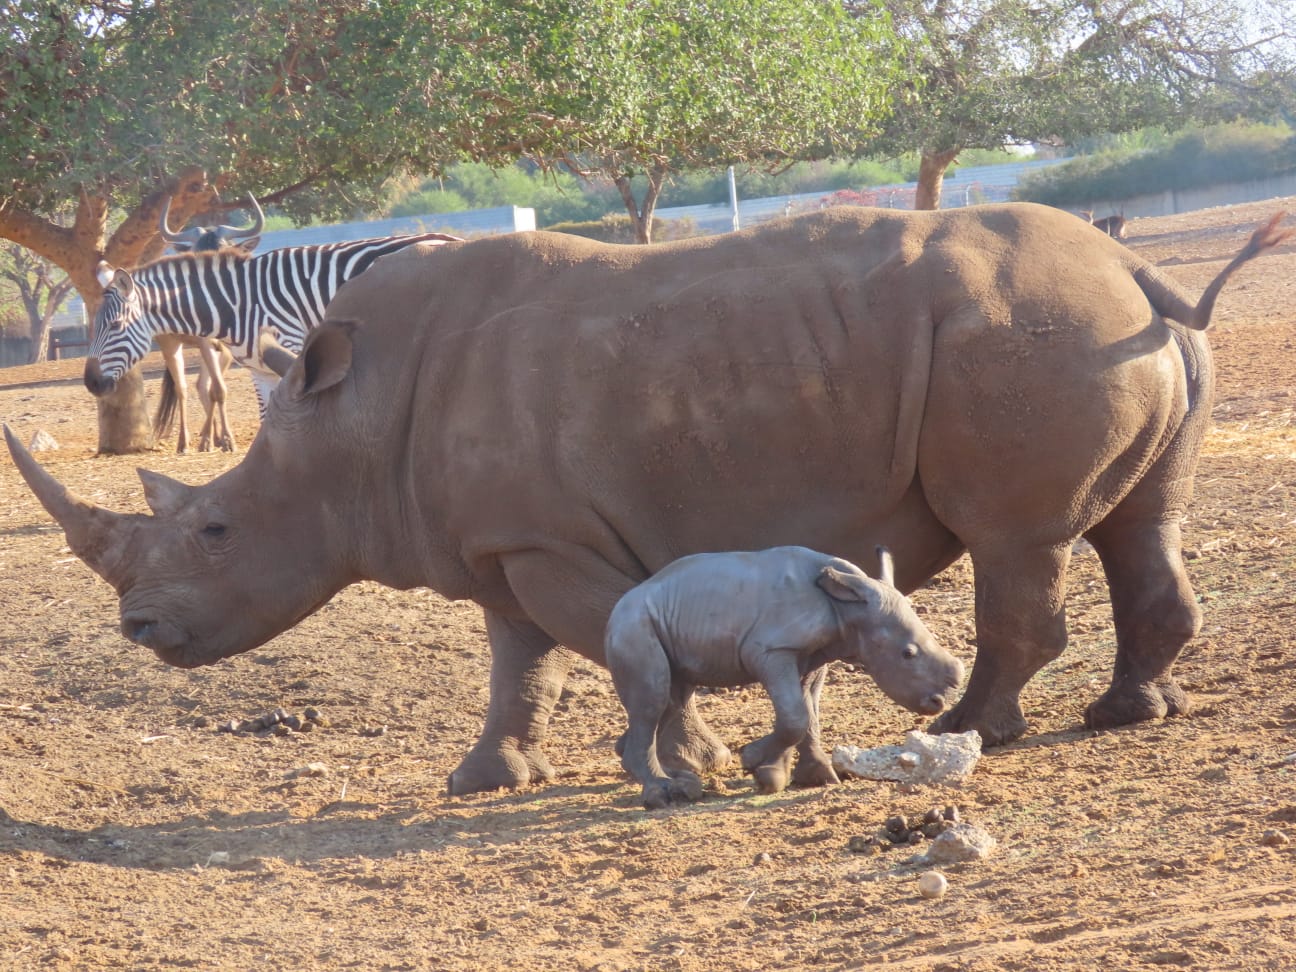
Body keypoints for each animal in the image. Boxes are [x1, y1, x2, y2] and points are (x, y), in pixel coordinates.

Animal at [84, 230, 461, 432]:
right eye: (92, 327)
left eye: (115, 326)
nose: (91, 383)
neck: (237, 302)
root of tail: (450, 237)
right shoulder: (259, 369)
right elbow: (266, 419)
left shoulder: (294, 349)